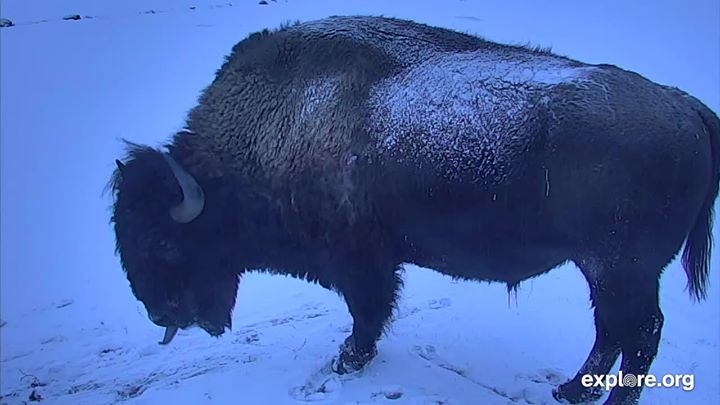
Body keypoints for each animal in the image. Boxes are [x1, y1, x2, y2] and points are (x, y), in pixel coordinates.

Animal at [109, 16, 719, 405]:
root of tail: (685, 106)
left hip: (620, 269)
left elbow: (367, 312)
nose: (160, 314)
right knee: (612, 331)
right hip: (607, 271)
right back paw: (568, 392)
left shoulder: (360, 261)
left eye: (162, 241)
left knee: (638, 335)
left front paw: (347, 359)